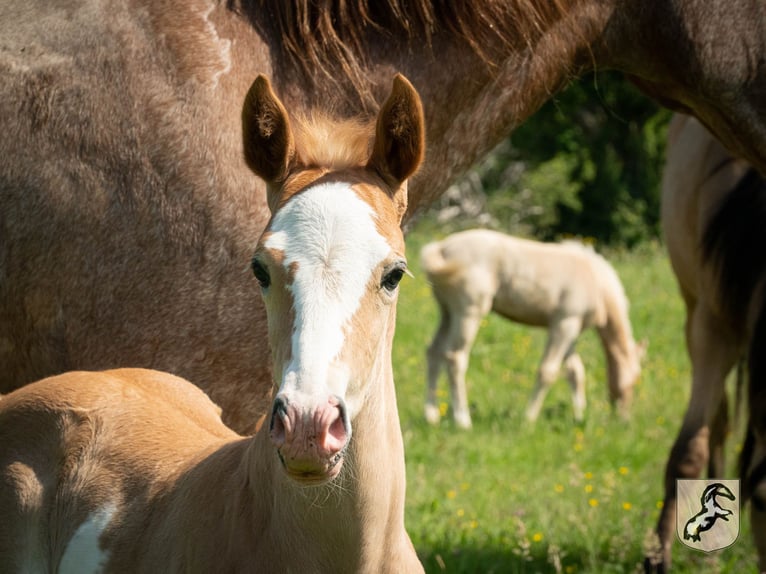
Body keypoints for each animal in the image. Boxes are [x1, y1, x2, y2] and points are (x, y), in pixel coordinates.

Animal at [424, 228, 644, 428]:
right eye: (634, 380)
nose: (623, 419)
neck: (596, 280)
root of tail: (442, 249)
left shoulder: (572, 332)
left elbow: (575, 372)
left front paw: (579, 415)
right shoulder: (564, 324)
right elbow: (548, 371)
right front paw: (528, 419)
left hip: (447, 312)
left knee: (434, 352)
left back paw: (432, 416)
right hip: (468, 313)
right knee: (455, 357)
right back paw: (463, 420)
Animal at [648, 111, 766, 572]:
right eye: (764, 501)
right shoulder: (711, 328)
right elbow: (688, 450)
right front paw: (657, 557)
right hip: (693, 308)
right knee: (719, 418)